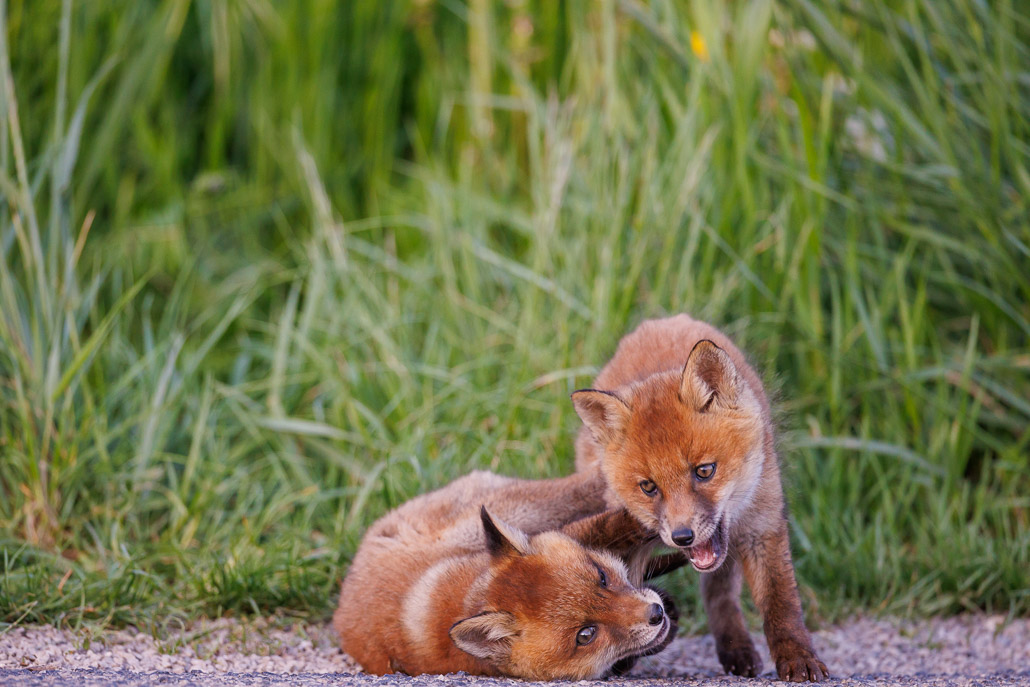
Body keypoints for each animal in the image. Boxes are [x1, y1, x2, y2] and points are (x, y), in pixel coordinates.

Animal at [571, 314, 828, 682]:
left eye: (704, 471)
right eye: (648, 487)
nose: (682, 537)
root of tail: (663, 320)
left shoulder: (762, 525)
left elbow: (781, 602)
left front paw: (798, 656)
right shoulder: (622, 529)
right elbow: (623, 594)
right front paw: (627, 651)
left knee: (719, 594)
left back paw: (736, 647)